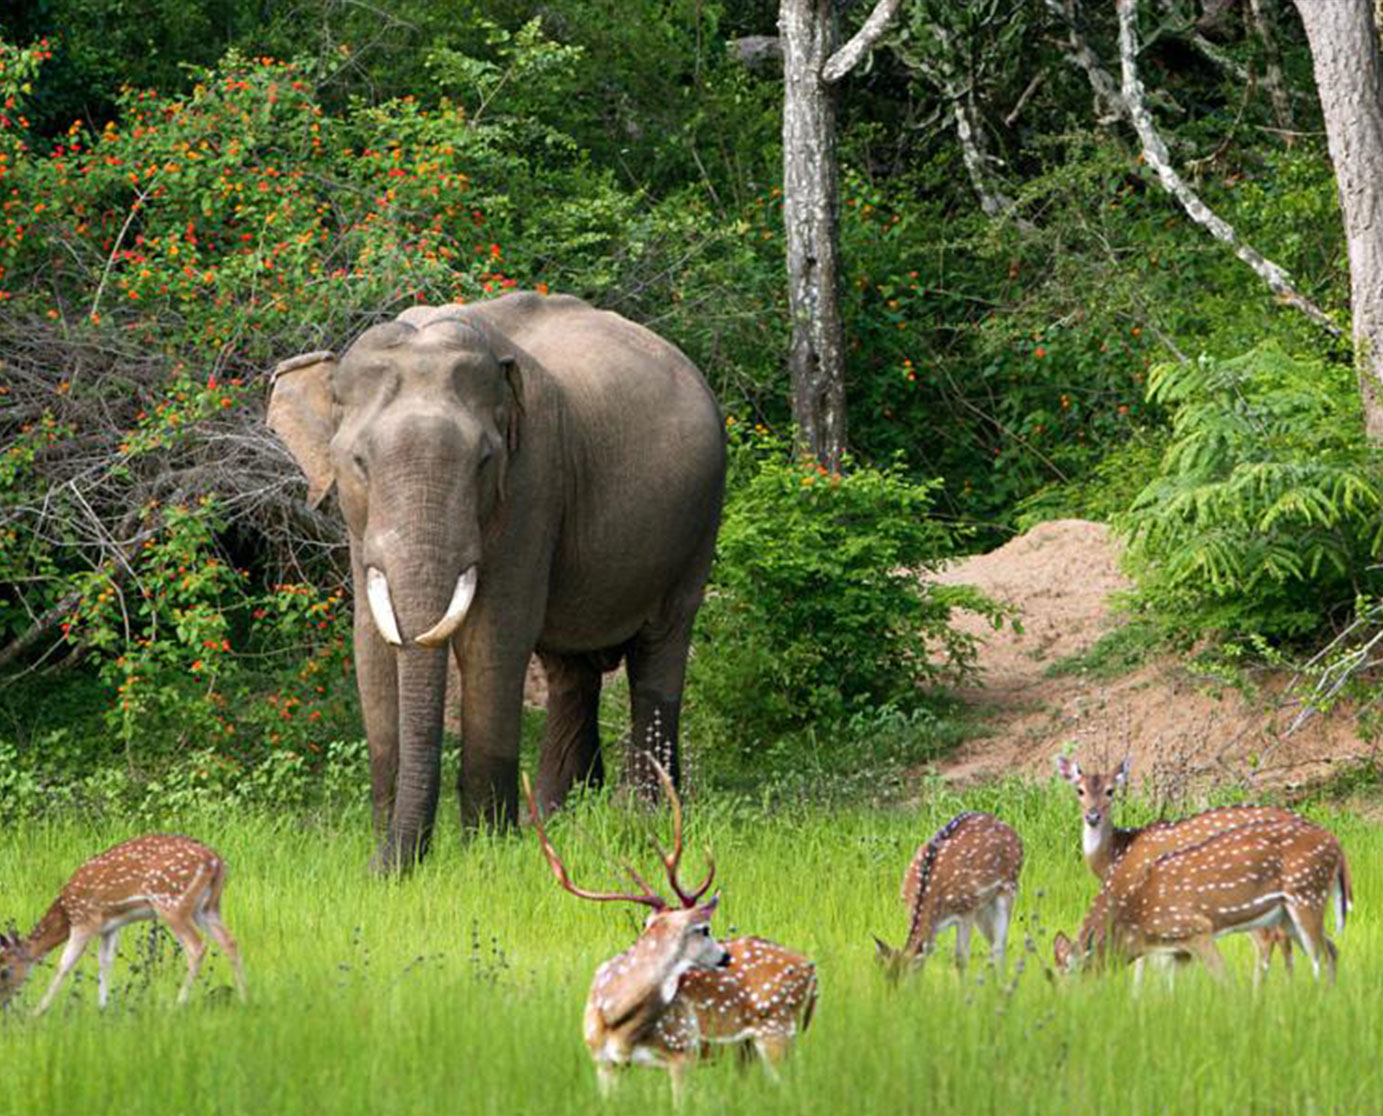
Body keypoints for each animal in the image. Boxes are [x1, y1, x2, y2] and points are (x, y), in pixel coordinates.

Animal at [0, 835, 246, 1017]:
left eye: (4, 971)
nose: (3, 1005)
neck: (65, 912)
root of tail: (216, 861)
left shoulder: (85, 919)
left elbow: (65, 964)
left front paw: (37, 1011)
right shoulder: (109, 926)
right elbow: (105, 962)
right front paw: (103, 1007)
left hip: (171, 902)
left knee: (197, 947)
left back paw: (179, 1003)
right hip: (207, 907)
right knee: (229, 940)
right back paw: (245, 996)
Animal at [264, 291, 730, 868]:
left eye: (484, 461)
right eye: (358, 462)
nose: (387, 866)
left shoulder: (533, 482)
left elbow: (493, 638)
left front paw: (486, 851)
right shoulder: (358, 524)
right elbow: (371, 643)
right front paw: (385, 851)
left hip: (699, 520)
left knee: (659, 650)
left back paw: (641, 817)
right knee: (570, 671)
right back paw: (555, 816)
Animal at [874, 807, 1028, 984]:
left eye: (907, 980)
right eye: (885, 978)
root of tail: (1012, 831)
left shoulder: (967, 908)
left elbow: (961, 959)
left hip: (1009, 887)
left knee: (999, 944)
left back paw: (1002, 985)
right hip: (983, 906)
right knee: (992, 941)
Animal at [1051, 757, 1300, 984]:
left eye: (1110, 791)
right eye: (1079, 790)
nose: (1092, 816)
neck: (1117, 852)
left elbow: (1147, 958)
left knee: (1267, 937)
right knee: (1283, 936)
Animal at [1056, 818, 1349, 990]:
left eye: (1072, 971)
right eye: (1054, 974)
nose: (1067, 1003)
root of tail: (1337, 844)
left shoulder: (1196, 929)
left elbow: (1225, 982)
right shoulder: (1176, 950)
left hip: (1307, 894)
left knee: (1320, 958)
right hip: (1289, 915)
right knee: (1332, 950)